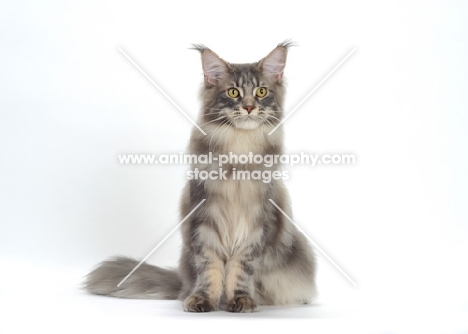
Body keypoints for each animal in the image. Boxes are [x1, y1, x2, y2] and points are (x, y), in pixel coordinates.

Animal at [85, 41, 316, 314]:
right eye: (233, 92)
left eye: (261, 91)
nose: (249, 107)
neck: (240, 150)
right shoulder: (203, 217)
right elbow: (209, 267)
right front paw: (203, 299)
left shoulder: (258, 223)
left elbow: (242, 268)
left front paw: (240, 300)